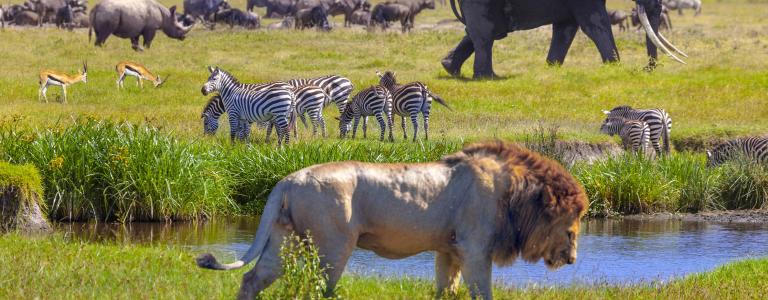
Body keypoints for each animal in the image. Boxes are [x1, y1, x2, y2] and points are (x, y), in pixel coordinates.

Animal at [198, 142, 588, 298]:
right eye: (572, 226)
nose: (573, 260)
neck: (515, 194)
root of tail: (287, 179)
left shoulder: (450, 250)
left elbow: (445, 289)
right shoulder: (475, 249)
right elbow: (483, 293)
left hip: (285, 239)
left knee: (252, 279)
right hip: (333, 245)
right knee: (320, 287)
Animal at [440, 0, 688, 78]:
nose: (648, 69)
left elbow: (566, 27)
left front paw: (552, 68)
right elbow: (594, 23)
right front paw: (614, 67)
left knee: (481, 33)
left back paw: (450, 68)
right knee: (486, 35)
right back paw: (487, 77)